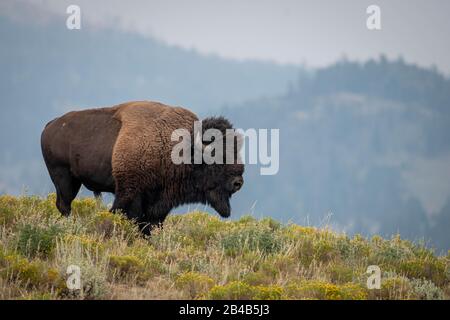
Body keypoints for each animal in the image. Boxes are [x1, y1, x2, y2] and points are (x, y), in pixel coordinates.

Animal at [41, 101, 244, 234]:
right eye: (219, 157)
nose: (238, 182)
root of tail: (50, 125)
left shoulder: (159, 205)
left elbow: (149, 225)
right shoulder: (129, 194)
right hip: (63, 178)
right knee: (65, 205)